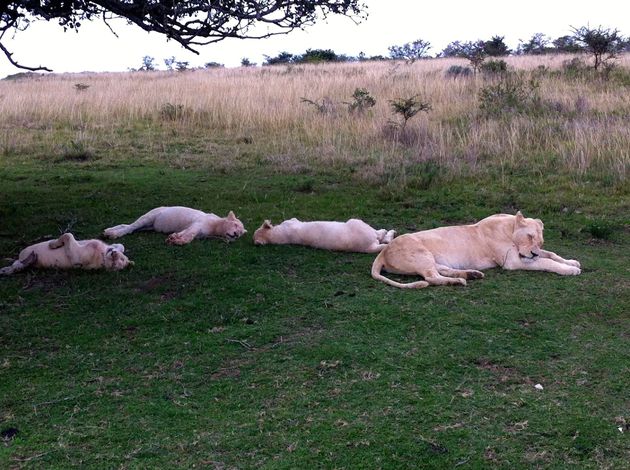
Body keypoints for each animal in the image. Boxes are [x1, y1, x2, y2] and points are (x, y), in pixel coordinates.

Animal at [0, 232, 131, 276]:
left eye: (114, 264)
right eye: (120, 259)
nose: (113, 254)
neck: (102, 254)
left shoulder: (75, 256)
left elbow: (68, 235)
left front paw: (53, 244)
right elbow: (121, 245)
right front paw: (117, 246)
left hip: (24, 262)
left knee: (18, 267)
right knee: (16, 264)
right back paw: (4, 269)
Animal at [103, 207, 247, 248]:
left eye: (240, 233)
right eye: (235, 225)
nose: (235, 235)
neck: (216, 227)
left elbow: (185, 233)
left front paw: (174, 238)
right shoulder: (198, 224)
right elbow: (190, 234)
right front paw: (177, 241)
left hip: (148, 226)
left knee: (130, 227)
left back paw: (108, 231)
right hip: (149, 217)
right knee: (130, 227)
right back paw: (113, 234)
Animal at [370, 212, 584, 286]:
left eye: (540, 241)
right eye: (530, 236)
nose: (532, 252)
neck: (509, 227)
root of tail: (383, 252)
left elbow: (550, 254)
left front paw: (571, 261)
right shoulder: (513, 262)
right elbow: (546, 261)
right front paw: (570, 269)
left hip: (430, 258)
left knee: (440, 270)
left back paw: (471, 274)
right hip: (420, 253)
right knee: (431, 278)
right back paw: (458, 281)